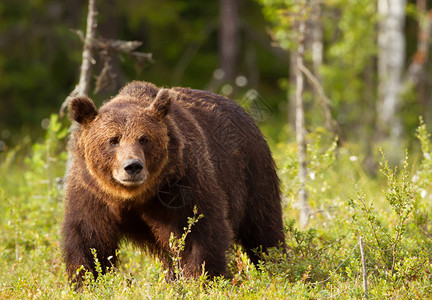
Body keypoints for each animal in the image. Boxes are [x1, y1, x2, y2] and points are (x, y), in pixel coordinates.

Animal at [60, 81, 284, 286]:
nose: (132, 166)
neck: (134, 196)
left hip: (252, 172)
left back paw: (277, 265)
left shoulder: (181, 186)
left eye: (144, 139)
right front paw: (86, 281)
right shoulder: (92, 193)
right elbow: (88, 241)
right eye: (113, 140)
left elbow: (199, 233)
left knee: (263, 227)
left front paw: (202, 279)